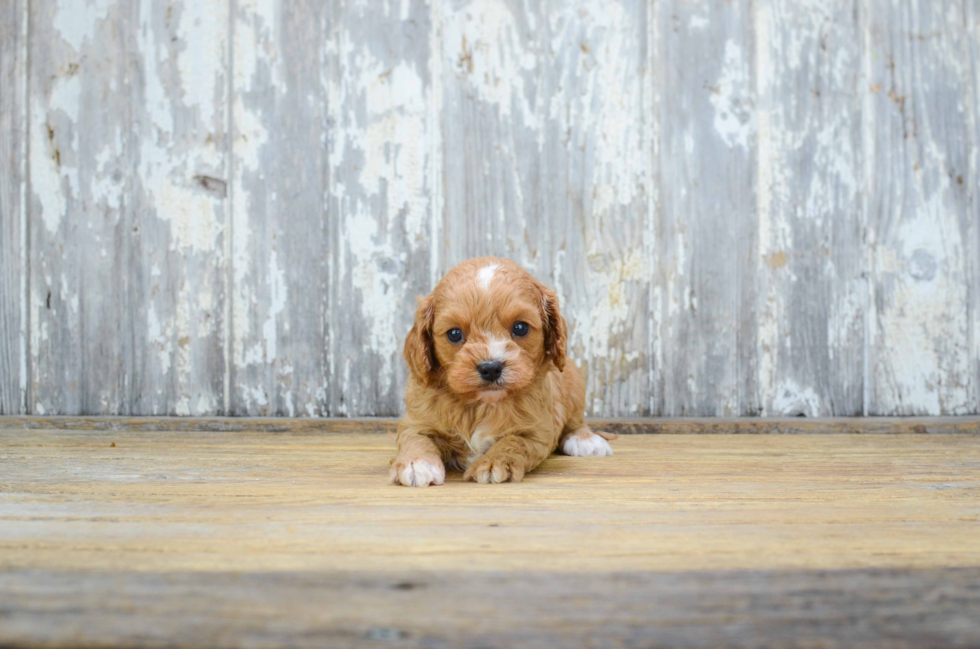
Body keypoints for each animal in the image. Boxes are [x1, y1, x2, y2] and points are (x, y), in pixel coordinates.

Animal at [388, 254, 612, 486]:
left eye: (520, 328)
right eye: (454, 334)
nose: (491, 368)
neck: (481, 405)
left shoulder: (538, 431)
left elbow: (513, 442)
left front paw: (493, 463)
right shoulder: (415, 420)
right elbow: (416, 438)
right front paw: (417, 464)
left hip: (575, 380)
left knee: (576, 421)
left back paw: (586, 440)